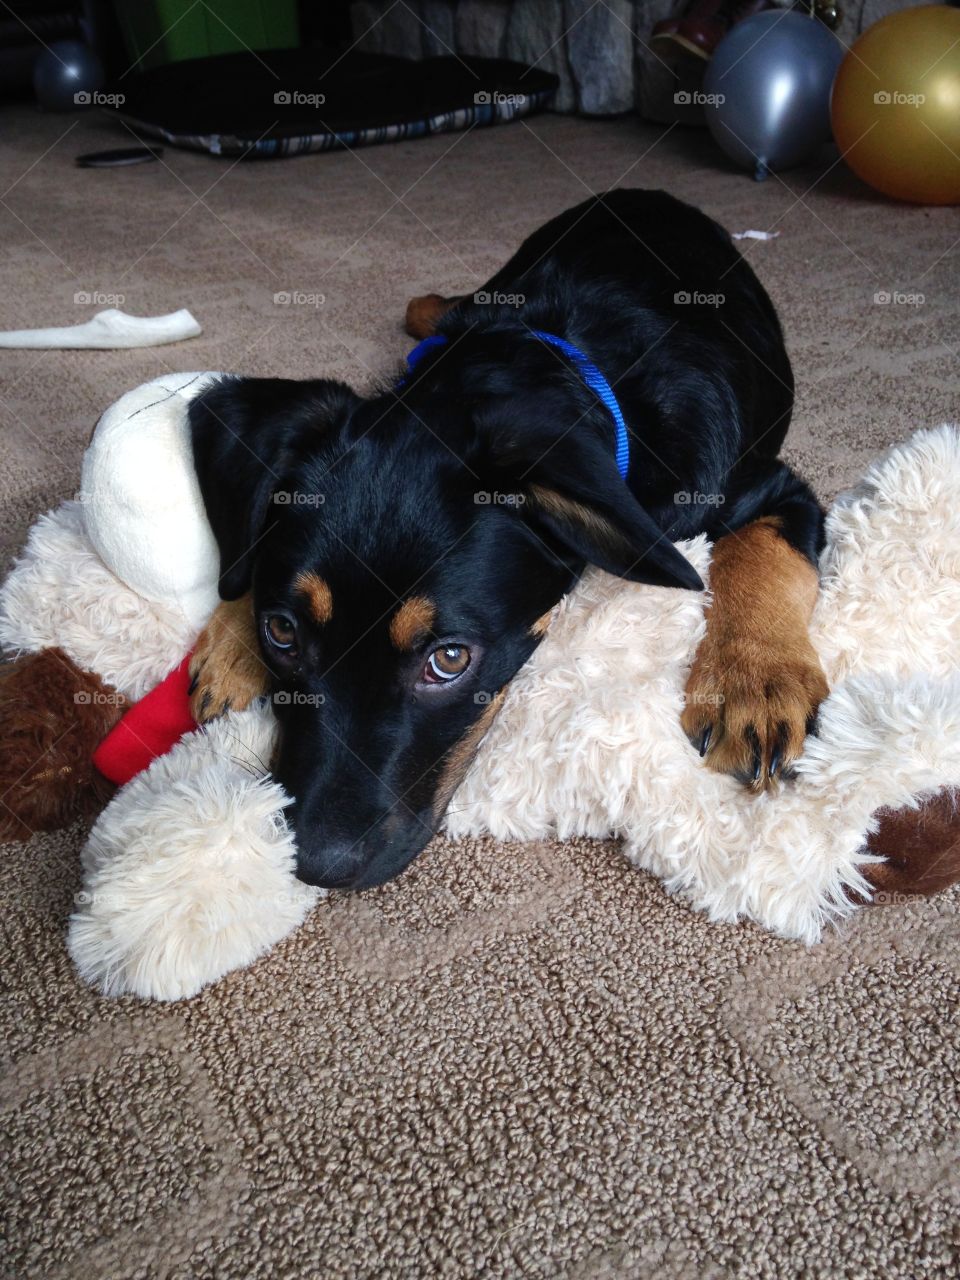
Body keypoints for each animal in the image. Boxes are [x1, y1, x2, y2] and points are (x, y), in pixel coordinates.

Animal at [188, 186, 829, 890]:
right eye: (280, 630)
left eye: (449, 660)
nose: (317, 867)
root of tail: (650, 193)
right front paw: (230, 644)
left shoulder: (773, 490)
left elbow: (763, 553)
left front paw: (754, 681)